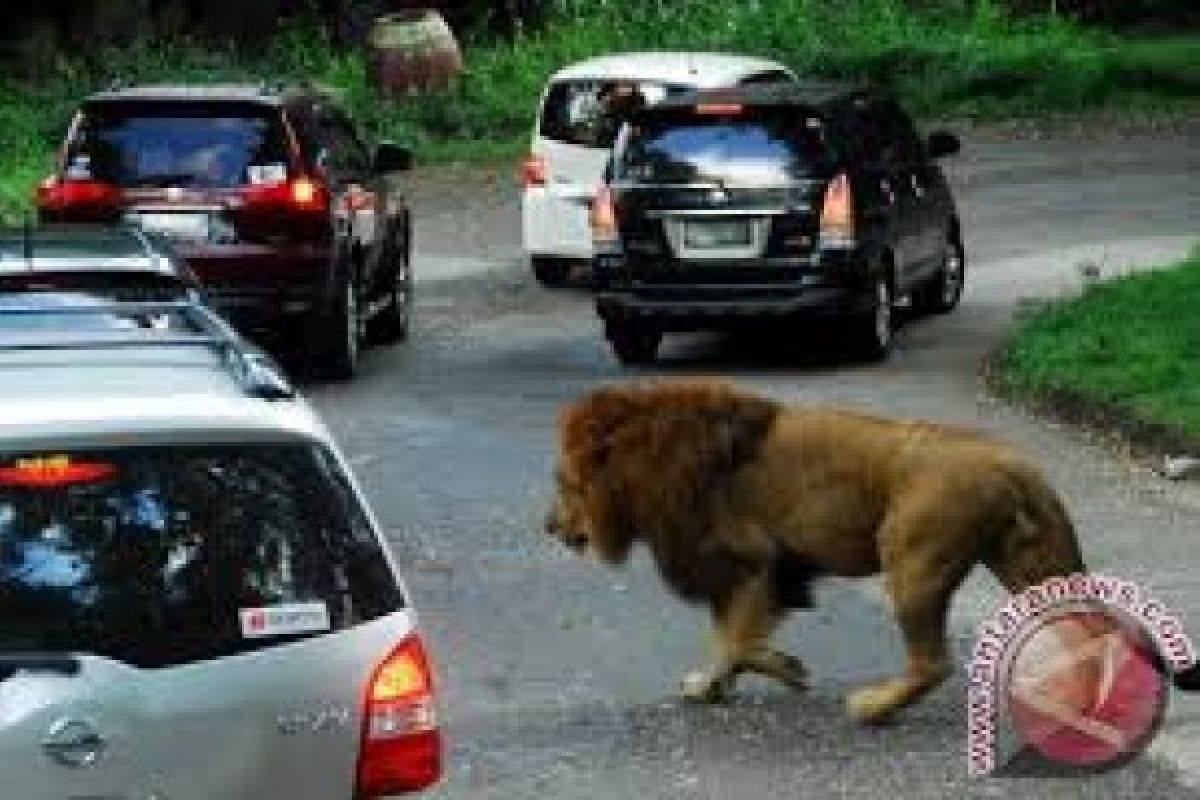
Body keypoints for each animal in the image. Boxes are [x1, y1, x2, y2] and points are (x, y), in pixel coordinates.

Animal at [544, 379, 1089, 724]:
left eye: (566, 485)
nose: (547, 527)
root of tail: (1015, 465)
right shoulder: (761, 571)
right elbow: (728, 641)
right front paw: (711, 686)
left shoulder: (751, 560)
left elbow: (735, 641)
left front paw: (784, 670)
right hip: (1028, 562)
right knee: (1084, 629)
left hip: (910, 558)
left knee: (933, 664)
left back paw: (872, 708)